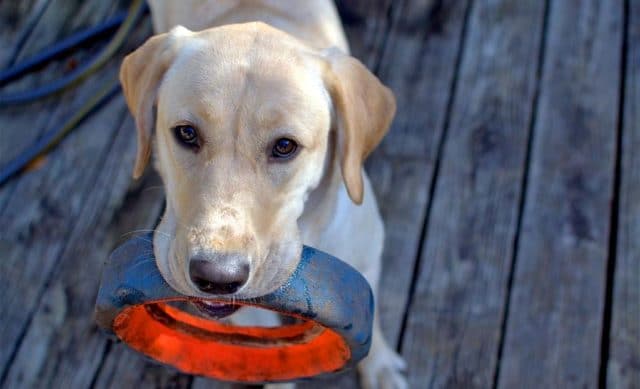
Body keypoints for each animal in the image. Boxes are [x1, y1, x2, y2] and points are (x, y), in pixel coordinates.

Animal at [120, 1, 408, 386]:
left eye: (285, 146)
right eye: (186, 133)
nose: (217, 277)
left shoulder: (366, 258)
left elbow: (372, 326)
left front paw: (381, 370)